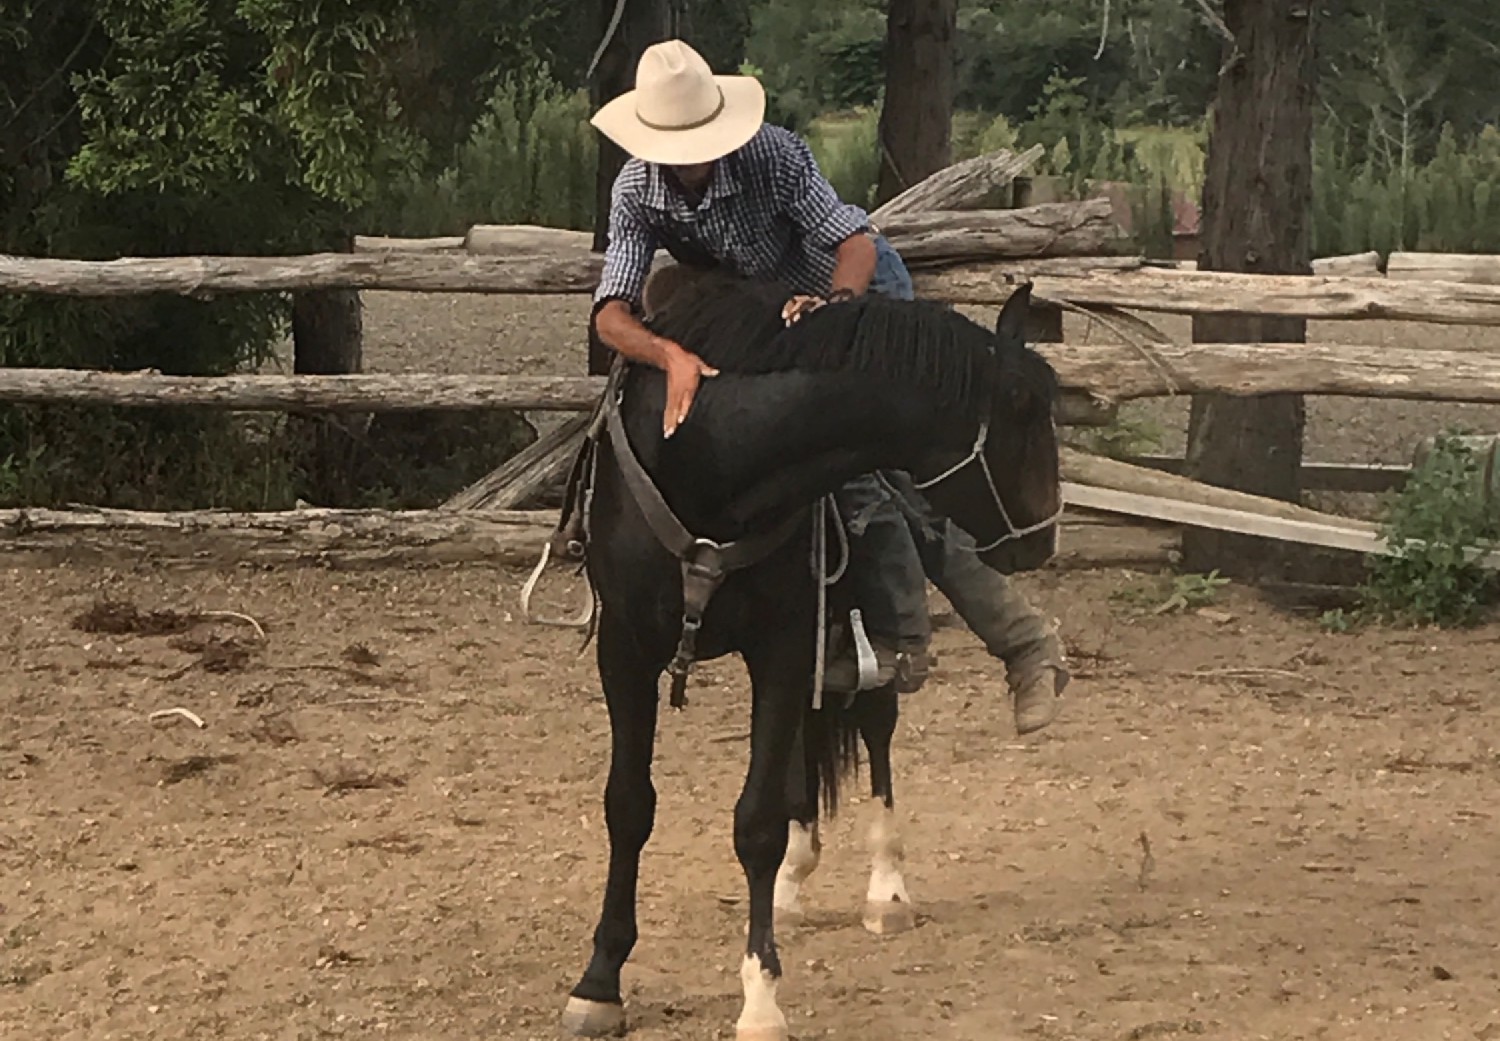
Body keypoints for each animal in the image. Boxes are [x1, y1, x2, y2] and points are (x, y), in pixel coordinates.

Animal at [558, 271, 1062, 1041]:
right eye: (1025, 413)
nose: (1044, 534)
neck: (715, 459)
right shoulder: (627, 648)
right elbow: (629, 805)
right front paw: (599, 981)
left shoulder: (785, 642)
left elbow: (757, 822)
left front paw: (761, 999)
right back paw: (796, 879)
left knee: (876, 728)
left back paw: (885, 888)